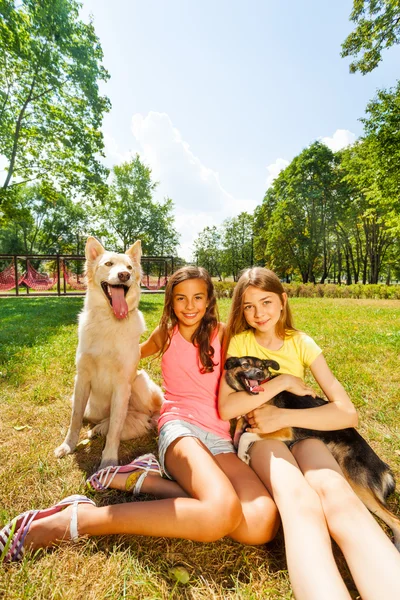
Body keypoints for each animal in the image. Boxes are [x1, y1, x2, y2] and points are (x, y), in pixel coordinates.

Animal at [54, 236, 164, 468]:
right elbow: (75, 419)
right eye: (109, 264)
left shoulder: (123, 384)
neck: (109, 321)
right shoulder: (81, 379)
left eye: (130, 267)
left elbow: (115, 428)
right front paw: (68, 446)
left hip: (139, 380)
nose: (124, 275)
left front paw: (109, 461)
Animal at [225, 356, 400, 548]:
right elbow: (240, 426)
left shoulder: (283, 430)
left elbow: (246, 435)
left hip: (357, 483)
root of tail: (384, 467)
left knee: (395, 520)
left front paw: (242, 454)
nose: (258, 373)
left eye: (262, 366)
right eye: (245, 364)